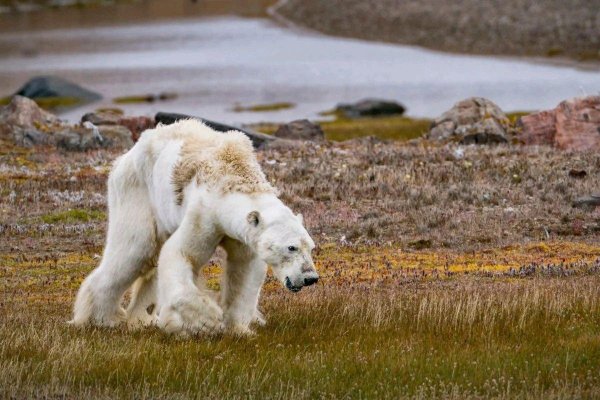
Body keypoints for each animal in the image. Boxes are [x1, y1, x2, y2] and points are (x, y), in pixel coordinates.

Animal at [70, 120, 318, 336]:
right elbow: (181, 253)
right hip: (137, 191)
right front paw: (205, 321)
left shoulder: (243, 235)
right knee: (135, 250)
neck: (234, 175)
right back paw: (101, 318)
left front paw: (239, 328)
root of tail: (125, 157)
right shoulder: (204, 213)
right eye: (291, 247)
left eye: (311, 247)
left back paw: (141, 318)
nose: (310, 278)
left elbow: (245, 268)